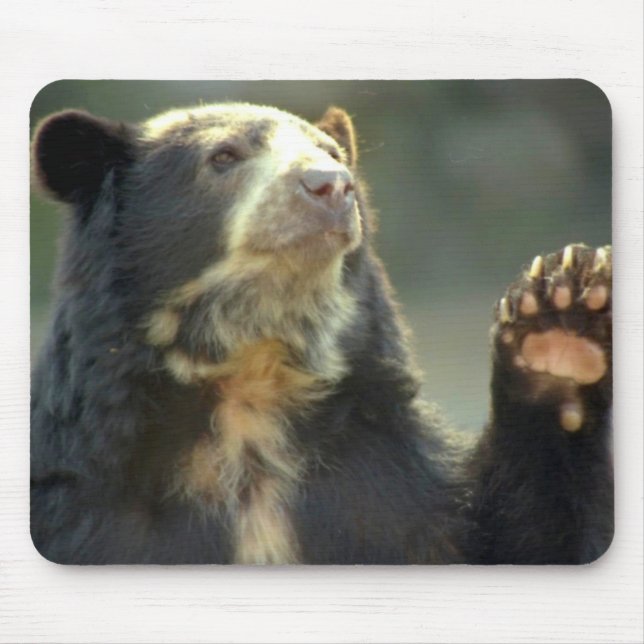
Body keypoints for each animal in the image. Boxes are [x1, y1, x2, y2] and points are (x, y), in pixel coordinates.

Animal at [30, 103, 613, 564]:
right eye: (223, 157)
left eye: (332, 152)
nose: (331, 185)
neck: (250, 383)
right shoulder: (85, 499)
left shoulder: (387, 486)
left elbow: (521, 536)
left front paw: (560, 320)